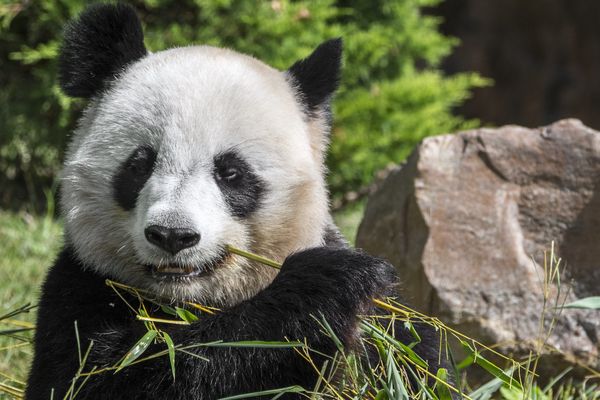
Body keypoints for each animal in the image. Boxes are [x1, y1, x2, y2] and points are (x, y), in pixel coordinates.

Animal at [27, 3, 450, 400]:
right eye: (139, 164)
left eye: (231, 173)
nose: (172, 235)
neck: (187, 303)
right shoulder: (80, 293)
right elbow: (113, 375)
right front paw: (325, 282)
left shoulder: (385, 319)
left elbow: (411, 358)